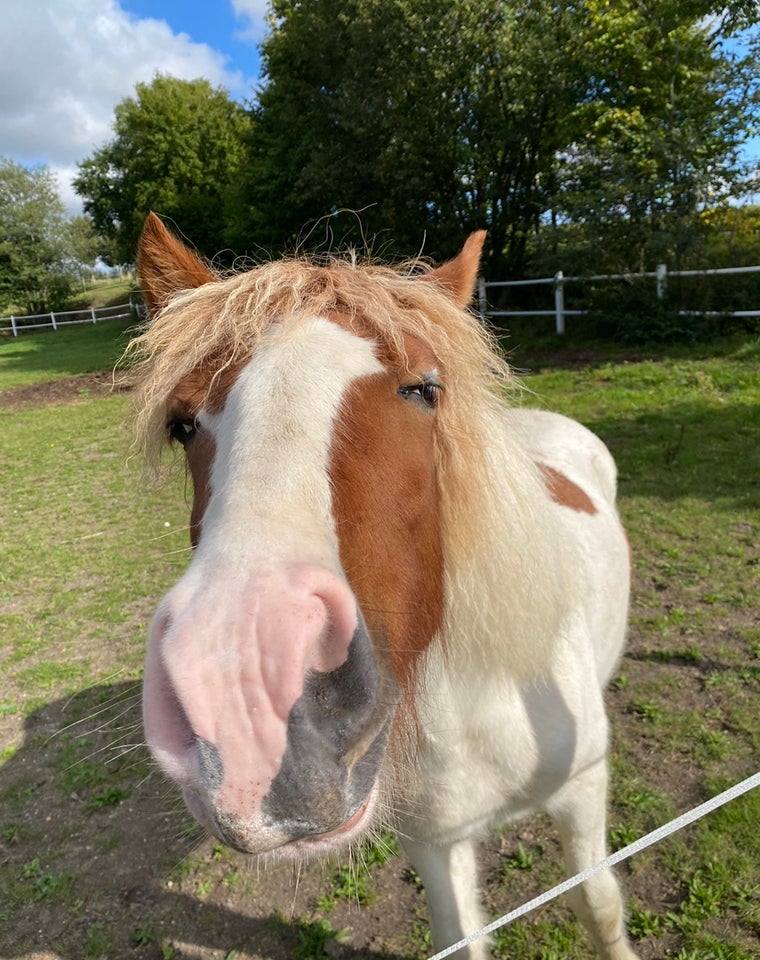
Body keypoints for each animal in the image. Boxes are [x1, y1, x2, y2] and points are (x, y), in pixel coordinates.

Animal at [132, 212, 640, 960]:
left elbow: (598, 904)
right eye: (182, 424)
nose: (246, 696)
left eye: (424, 389)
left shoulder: (583, 790)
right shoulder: (435, 841)